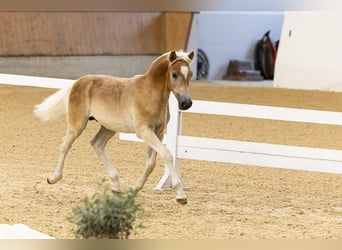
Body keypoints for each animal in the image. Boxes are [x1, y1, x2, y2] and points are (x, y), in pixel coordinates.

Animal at [35, 49, 195, 204]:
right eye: (174, 74)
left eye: (190, 74)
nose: (186, 103)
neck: (149, 93)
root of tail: (77, 82)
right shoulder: (144, 131)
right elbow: (167, 154)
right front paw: (181, 196)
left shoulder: (158, 132)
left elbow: (151, 163)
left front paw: (134, 189)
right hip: (78, 124)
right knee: (65, 146)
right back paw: (53, 178)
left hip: (108, 127)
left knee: (97, 144)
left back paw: (116, 187)